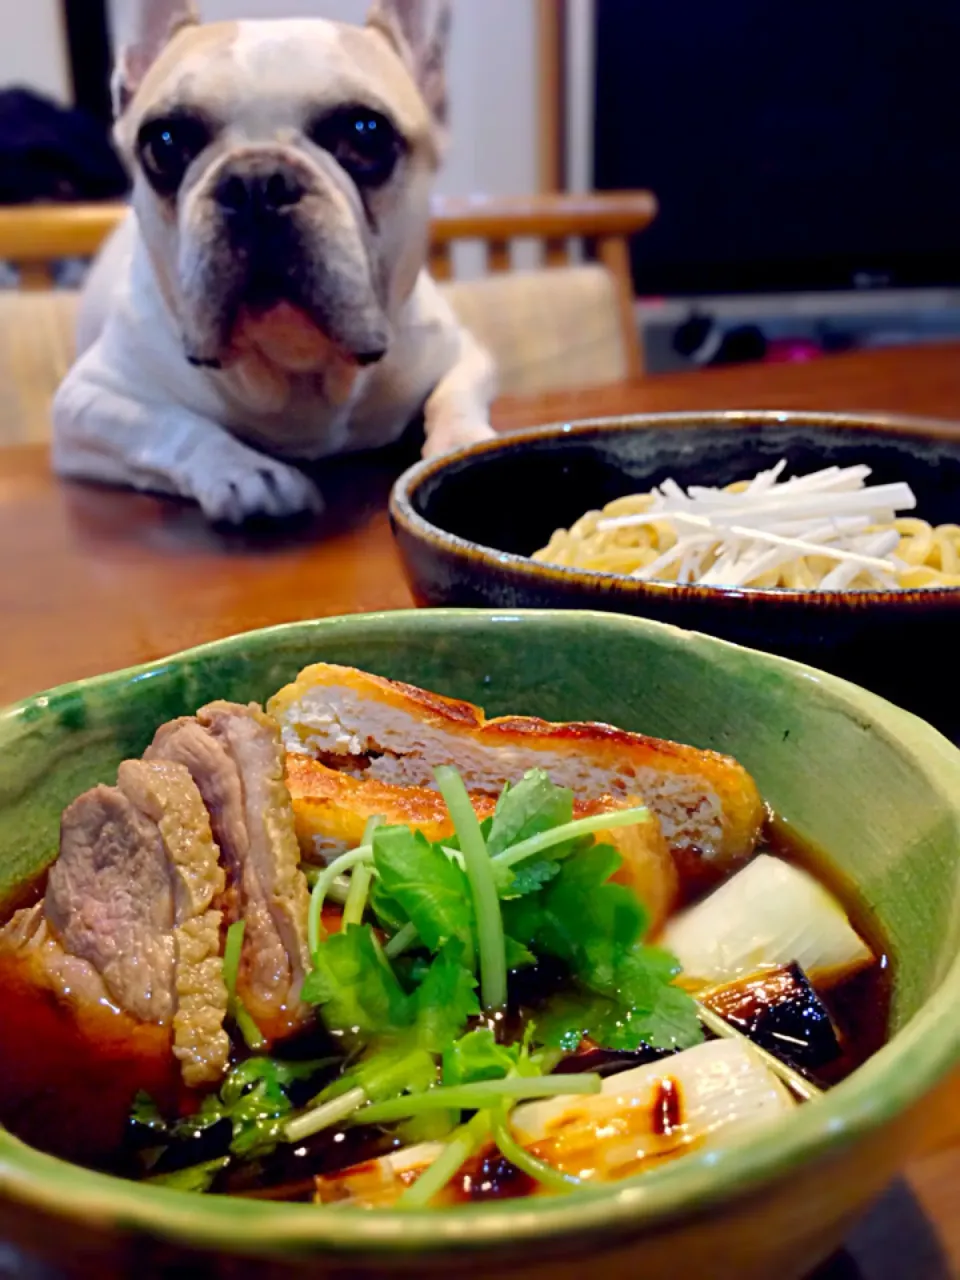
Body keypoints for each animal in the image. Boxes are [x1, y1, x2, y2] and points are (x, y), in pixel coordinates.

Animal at [52, 0, 496, 522]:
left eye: (366, 134)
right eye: (164, 143)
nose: (255, 181)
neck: (297, 373)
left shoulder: (464, 353)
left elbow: (453, 396)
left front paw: (462, 443)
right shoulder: (88, 398)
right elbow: (171, 427)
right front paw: (245, 472)